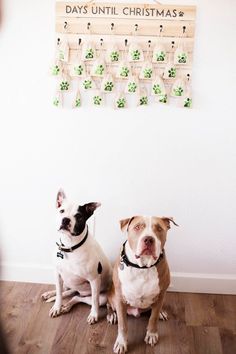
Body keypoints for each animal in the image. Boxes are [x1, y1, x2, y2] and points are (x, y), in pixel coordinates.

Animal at [41, 189, 112, 324]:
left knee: (77, 298)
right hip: (67, 281)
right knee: (66, 291)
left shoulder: (94, 280)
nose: (65, 220)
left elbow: (94, 301)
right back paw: (50, 295)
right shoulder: (57, 274)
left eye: (78, 216)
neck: (70, 247)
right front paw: (56, 307)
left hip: (103, 297)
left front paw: (94, 315)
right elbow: (59, 294)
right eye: (61, 211)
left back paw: (67, 306)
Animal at [106, 214, 177, 352]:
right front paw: (121, 343)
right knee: (108, 305)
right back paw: (111, 315)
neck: (142, 267)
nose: (148, 239)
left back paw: (161, 312)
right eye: (138, 227)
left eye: (159, 228)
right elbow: (122, 325)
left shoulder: (161, 295)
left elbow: (153, 318)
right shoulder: (120, 299)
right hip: (112, 295)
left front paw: (152, 334)